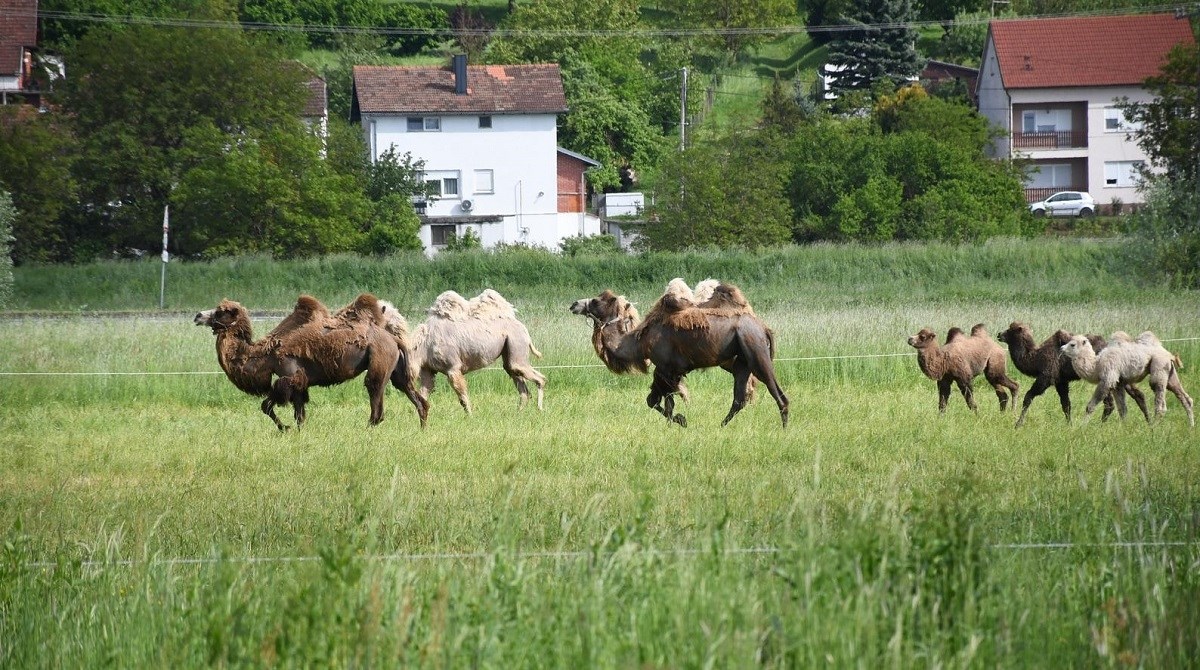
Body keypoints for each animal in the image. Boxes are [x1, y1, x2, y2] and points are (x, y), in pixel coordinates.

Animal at [199, 295, 434, 432]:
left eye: (220, 311)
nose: (198, 315)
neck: (266, 354)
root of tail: (393, 339)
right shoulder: (299, 383)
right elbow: (299, 414)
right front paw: (297, 430)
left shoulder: (290, 375)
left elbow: (266, 405)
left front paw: (284, 428)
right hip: (396, 369)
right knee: (413, 395)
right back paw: (422, 428)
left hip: (379, 361)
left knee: (375, 395)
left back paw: (366, 430)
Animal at [410, 289, 547, 415]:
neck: (423, 345)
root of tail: (523, 328)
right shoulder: (428, 370)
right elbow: (423, 394)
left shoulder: (453, 368)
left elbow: (462, 396)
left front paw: (470, 416)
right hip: (510, 353)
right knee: (521, 385)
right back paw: (518, 412)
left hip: (517, 344)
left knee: (539, 378)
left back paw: (539, 409)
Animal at [568, 280, 787, 427]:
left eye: (596, 301)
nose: (574, 304)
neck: (639, 341)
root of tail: (763, 327)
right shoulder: (666, 371)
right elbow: (659, 402)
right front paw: (676, 424)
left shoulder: (666, 369)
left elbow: (661, 402)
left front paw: (681, 421)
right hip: (741, 360)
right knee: (739, 398)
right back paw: (721, 425)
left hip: (756, 351)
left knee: (777, 392)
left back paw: (784, 430)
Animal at [993, 324, 1152, 427]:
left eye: (1010, 330)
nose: (999, 334)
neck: (1036, 357)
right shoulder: (1061, 381)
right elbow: (1066, 404)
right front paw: (1069, 425)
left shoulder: (1046, 376)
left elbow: (1028, 397)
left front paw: (1018, 424)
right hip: (1122, 376)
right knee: (1137, 394)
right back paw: (1149, 422)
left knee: (1109, 403)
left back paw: (1101, 425)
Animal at [1060, 333, 1190, 427]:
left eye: (1072, 344)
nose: (1061, 348)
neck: (1097, 365)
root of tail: (1169, 354)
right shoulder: (1118, 384)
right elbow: (1122, 409)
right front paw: (1124, 429)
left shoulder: (1107, 380)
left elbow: (1090, 406)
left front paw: (1082, 426)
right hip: (1171, 373)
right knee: (1185, 398)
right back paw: (1190, 427)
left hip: (1159, 366)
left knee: (1160, 402)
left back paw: (1155, 428)